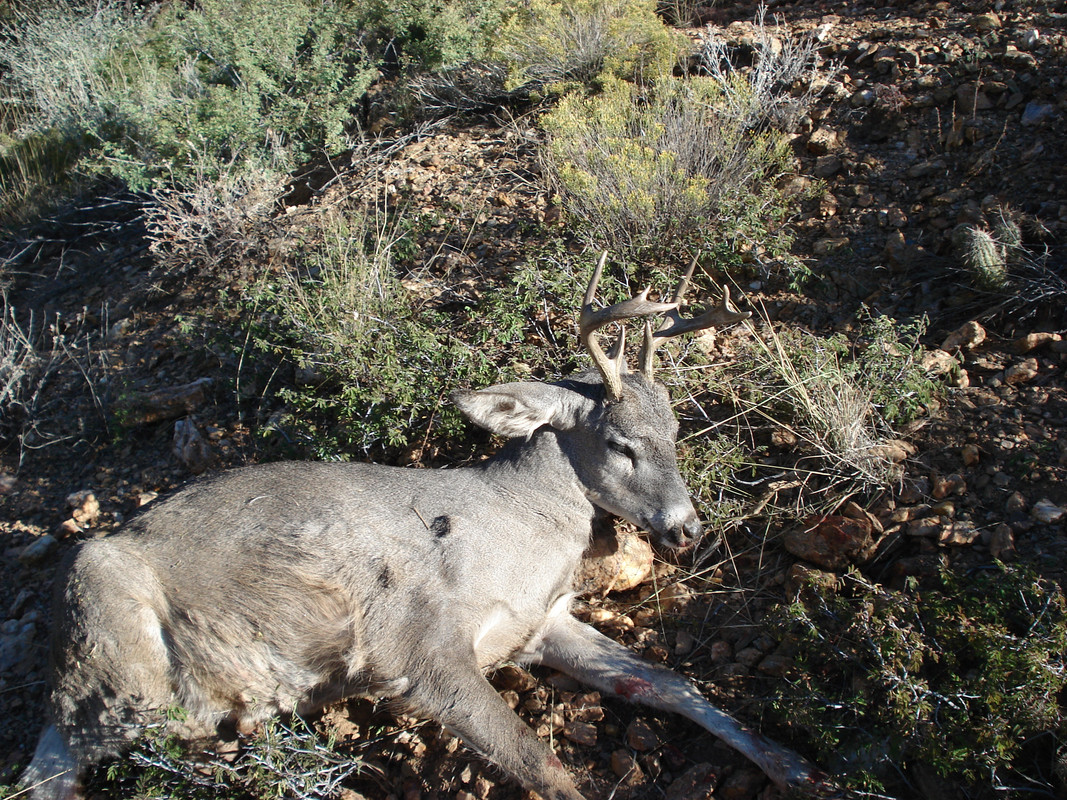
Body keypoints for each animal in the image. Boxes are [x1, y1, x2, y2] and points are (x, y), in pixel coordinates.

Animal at [21, 253, 833, 800]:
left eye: (676, 430)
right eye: (619, 443)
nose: (687, 528)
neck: (517, 529)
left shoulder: (540, 623)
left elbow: (667, 682)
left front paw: (796, 766)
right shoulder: (418, 648)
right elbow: (539, 762)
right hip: (112, 659)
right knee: (49, 767)